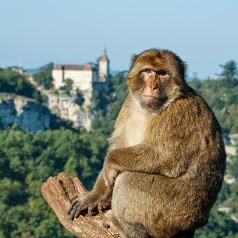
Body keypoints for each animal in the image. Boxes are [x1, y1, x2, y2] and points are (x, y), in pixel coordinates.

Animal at [67, 49, 227, 237]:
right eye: (148, 71)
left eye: (163, 74)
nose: (153, 86)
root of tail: (198, 222)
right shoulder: (128, 104)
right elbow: (119, 146)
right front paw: (95, 196)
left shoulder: (179, 114)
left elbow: (165, 156)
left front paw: (110, 161)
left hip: (173, 211)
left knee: (128, 180)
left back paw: (123, 228)